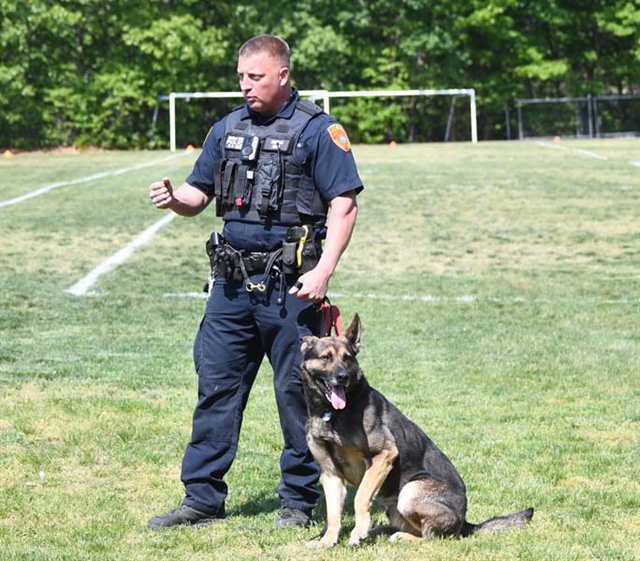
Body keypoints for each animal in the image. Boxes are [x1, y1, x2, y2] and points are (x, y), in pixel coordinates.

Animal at [302, 312, 532, 548]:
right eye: (326, 358)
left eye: (347, 358)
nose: (342, 377)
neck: (330, 412)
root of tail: (465, 522)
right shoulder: (330, 473)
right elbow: (333, 514)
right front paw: (326, 541)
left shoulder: (383, 455)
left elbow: (361, 497)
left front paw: (359, 530)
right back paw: (382, 530)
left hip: (409, 492)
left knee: (432, 537)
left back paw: (398, 536)